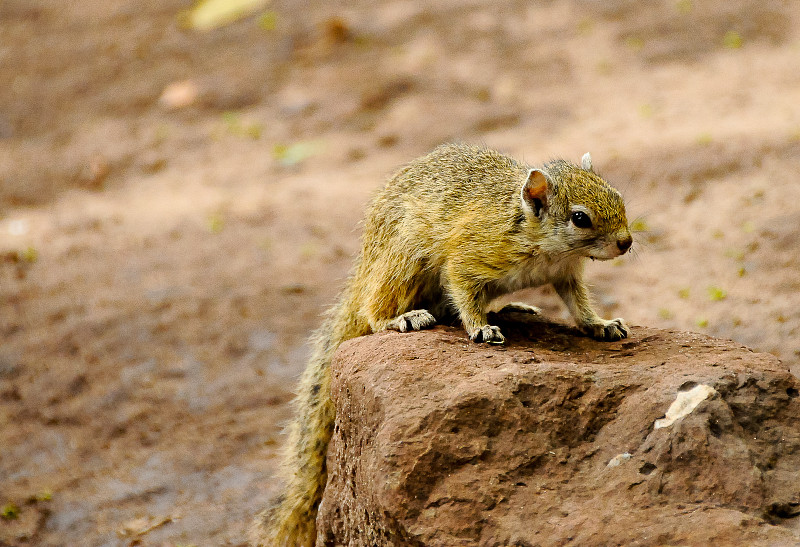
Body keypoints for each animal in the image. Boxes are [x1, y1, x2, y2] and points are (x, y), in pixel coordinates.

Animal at [250, 143, 632, 544]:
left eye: (618, 196)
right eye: (580, 218)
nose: (627, 242)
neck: (543, 243)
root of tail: (364, 267)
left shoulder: (565, 275)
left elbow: (580, 306)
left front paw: (602, 324)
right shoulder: (469, 256)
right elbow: (463, 291)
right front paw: (481, 328)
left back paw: (511, 307)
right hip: (402, 261)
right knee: (374, 309)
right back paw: (402, 318)